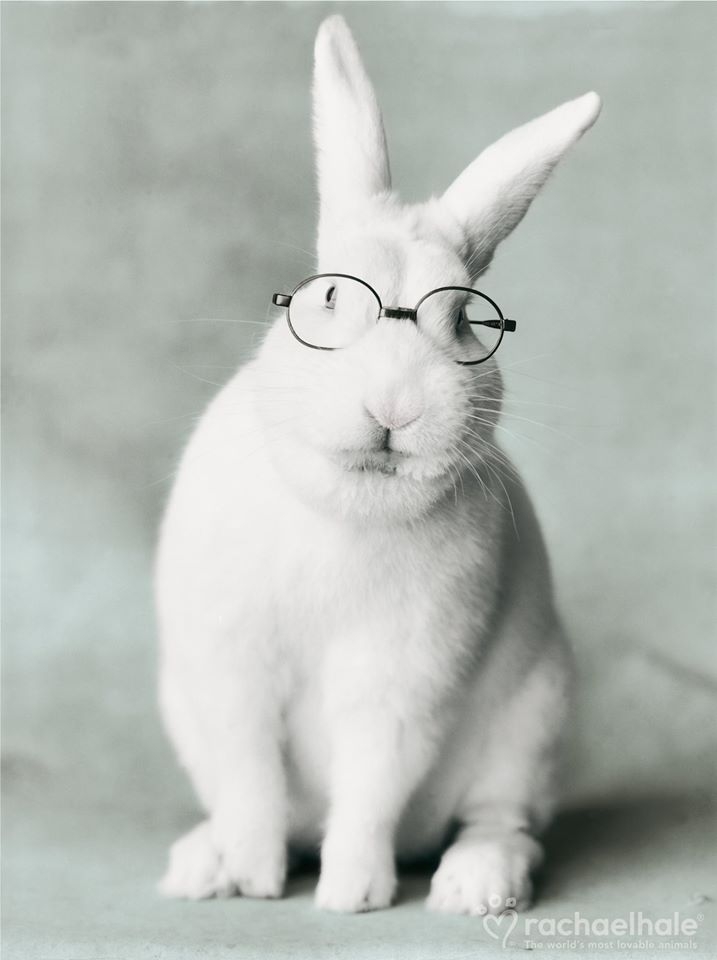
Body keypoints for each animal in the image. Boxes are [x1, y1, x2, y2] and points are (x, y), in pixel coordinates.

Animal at [156, 15, 600, 915]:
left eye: (465, 320)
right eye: (329, 296)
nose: (394, 406)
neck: (344, 507)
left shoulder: (401, 681)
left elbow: (370, 787)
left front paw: (351, 894)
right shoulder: (232, 669)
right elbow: (251, 780)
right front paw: (254, 878)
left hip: (532, 722)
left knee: (502, 823)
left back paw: (473, 886)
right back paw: (201, 865)